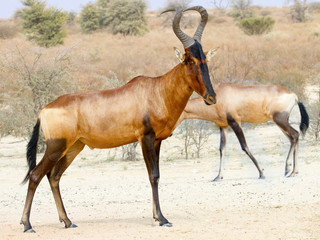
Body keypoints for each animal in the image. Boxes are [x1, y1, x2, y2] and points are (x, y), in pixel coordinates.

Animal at [20, 6, 218, 232]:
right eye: (189, 60)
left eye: (205, 59)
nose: (211, 98)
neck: (157, 89)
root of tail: (44, 109)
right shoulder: (146, 138)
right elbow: (153, 175)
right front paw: (162, 218)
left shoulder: (157, 140)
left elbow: (157, 175)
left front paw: (156, 216)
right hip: (55, 147)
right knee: (36, 175)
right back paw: (27, 224)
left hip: (73, 147)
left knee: (54, 176)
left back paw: (68, 221)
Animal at [176, 82, 308, 180]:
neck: (221, 95)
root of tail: (294, 96)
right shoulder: (223, 126)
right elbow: (222, 149)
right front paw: (218, 176)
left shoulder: (235, 123)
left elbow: (244, 146)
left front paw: (261, 173)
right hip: (281, 121)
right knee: (293, 137)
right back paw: (294, 171)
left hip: (279, 119)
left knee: (295, 134)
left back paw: (288, 169)